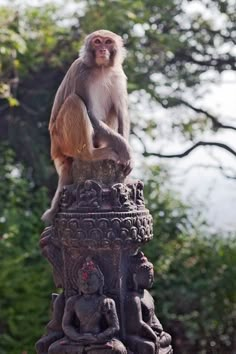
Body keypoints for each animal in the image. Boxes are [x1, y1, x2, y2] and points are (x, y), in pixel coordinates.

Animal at [41, 29, 132, 223]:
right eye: (97, 42)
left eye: (107, 42)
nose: (102, 50)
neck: (101, 69)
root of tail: (56, 151)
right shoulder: (81, 73)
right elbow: (90, 113)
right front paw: (125, 149)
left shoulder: (118, 75)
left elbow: (122, 112)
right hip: (62, 139)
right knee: (74, 102)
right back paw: (91, 154)